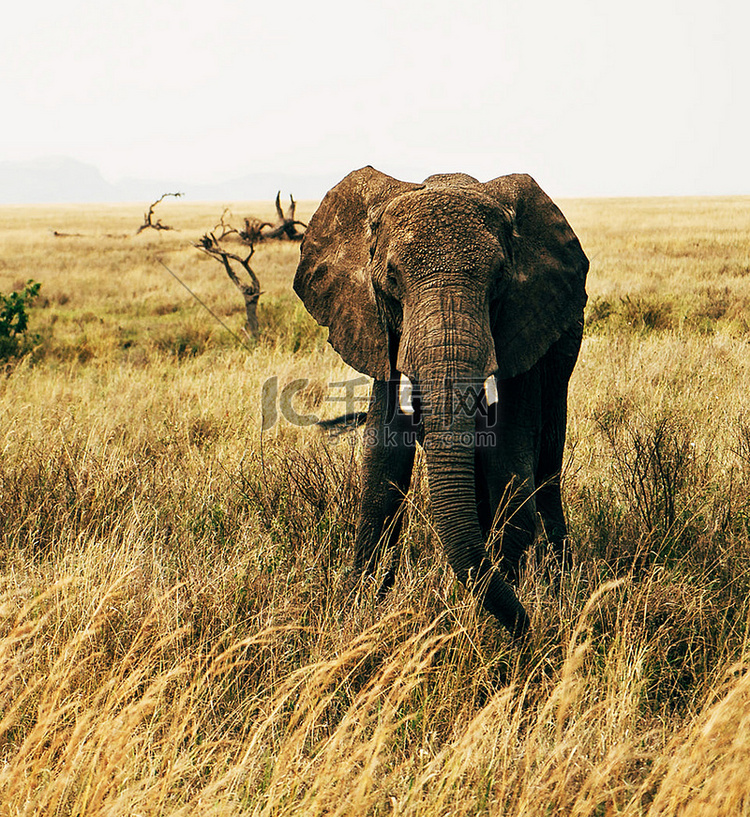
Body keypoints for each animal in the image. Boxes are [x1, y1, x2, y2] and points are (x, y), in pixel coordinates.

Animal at [296, 166, 592, 636]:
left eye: (499, 279)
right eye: (392, 278)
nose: (530, 634)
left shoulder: (522, 328)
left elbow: (508, 456)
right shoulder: (380, 330)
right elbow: (384, 457)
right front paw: (359, 611)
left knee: (545, 466)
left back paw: (561, 577)